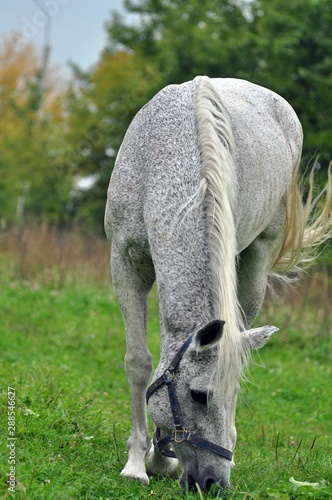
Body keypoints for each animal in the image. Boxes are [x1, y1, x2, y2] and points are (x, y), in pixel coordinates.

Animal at [104, 76, 332, 494]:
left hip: (255, 265)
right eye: (198, 395)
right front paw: (138, 463)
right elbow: (139, 362)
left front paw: (160, 459)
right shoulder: (125, 264)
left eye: (233, 395)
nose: (214, 482)